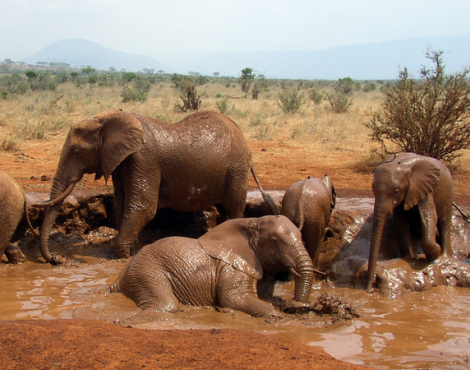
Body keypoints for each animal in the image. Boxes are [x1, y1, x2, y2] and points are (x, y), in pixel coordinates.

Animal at [35, 109, 278, 264]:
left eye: (77, 152)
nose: (58, 259)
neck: (105, 118)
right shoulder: (121, 162)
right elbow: (121, 203)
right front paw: (131, 249)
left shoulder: (143, 158)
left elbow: (143, 205)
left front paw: (121, 255)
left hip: (237, 168)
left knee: (234, 207)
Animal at [108, 215, 314, 320]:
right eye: (274, 241)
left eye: (302, 238)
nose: (298, 305)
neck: (251, 221)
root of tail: (120, 277)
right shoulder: (232, 267)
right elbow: (234, 298)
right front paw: (278, 316)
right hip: (147, 271)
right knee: (166, 305)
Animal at [366, 153, 454, 292]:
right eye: (373, 190)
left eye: (396, 192)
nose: (369, 290)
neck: (403, 167)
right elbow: (400, 220)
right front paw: (407, 258)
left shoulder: (425, 187)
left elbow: (429, 214)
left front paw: (434, 255)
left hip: (448, 190)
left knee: (445, 221)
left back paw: (445, 256)